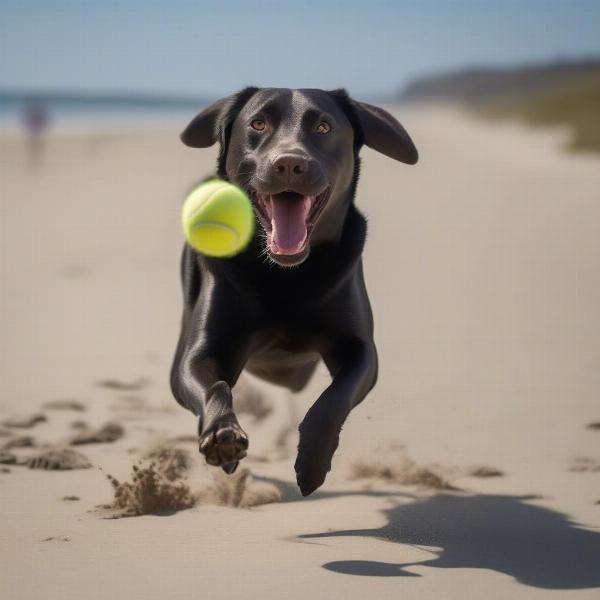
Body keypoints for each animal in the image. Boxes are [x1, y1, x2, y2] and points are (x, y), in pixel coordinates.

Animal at [170, 86, 418, 494]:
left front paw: (313, 462)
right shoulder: (194, 358)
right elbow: (214, 386)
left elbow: (334, 399)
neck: (286, 276)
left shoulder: (362, 352)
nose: (289, 164)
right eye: (258, 124)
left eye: (324, 126)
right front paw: (223, 435)